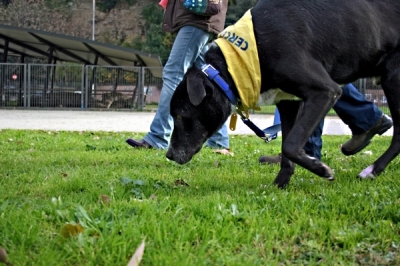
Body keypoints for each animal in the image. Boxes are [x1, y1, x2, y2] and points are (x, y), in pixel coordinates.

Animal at [165, 0, 400, 188]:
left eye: (180, 115)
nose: (169, 154)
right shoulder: (289, 103)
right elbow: (288, 147)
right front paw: (280, 184)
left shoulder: (325, 91)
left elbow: (290, 144)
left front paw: (320, 169)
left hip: (393, 77)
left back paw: (373, 170)